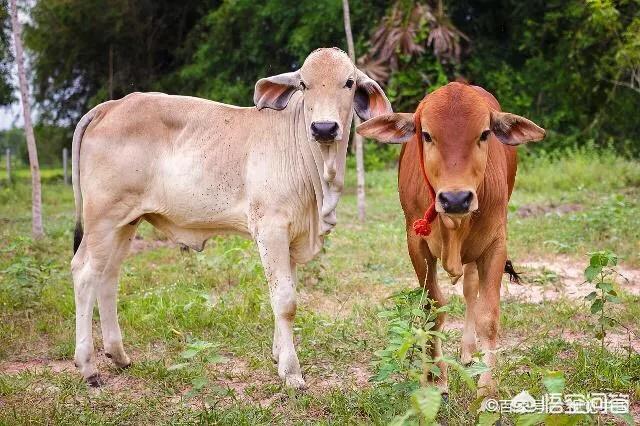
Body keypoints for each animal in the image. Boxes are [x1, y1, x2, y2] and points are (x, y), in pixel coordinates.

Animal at [70, 48, 390, 388]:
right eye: (304, 84)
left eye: (349, 82)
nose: (324, 128)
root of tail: (110, 106)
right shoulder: (270, 228)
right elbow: (285, 301)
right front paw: (291, 371)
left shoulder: (291, 236)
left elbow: (285, 292)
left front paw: (278, 354)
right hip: (102, 218)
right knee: (85, 274)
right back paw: (88, 366)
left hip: (125, 222)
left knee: (108, 277)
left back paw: (118, 355)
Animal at [358, 82, 544, 396]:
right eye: (426, 134)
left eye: (484, 133)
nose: (456, 199)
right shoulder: (416, 245)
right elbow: (433, 310)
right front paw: (436, 379)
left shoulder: (496, 244)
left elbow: (488, 317)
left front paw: (486, 389)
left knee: (470, 290)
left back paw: (469, 352)